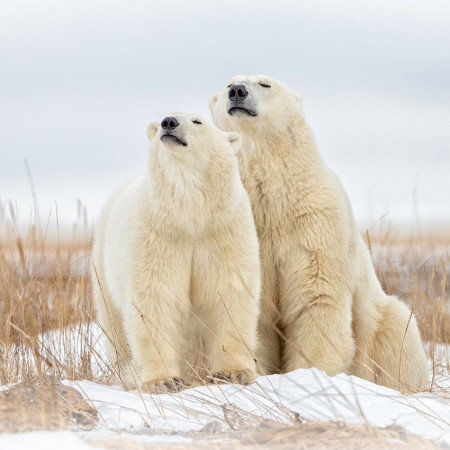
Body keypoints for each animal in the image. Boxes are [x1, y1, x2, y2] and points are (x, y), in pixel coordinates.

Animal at [91, 113, 260, 394]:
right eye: (162, 119)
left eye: (197, 121)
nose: (168, 122)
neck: (189, 214)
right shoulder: (158, 235)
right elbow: (155, 298)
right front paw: (164, 380)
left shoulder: (222, 230)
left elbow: (229, 291)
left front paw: (232, 373)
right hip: (103, 267)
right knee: (115, 327)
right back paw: (127, 372)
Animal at [210, 75, 428, 392]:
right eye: (228, 83)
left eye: (265, 84)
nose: (237, 92)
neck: (274, 200)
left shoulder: (315, 222)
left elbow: (317, 296)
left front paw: (310, 374)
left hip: (383, 323)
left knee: (399, 332)